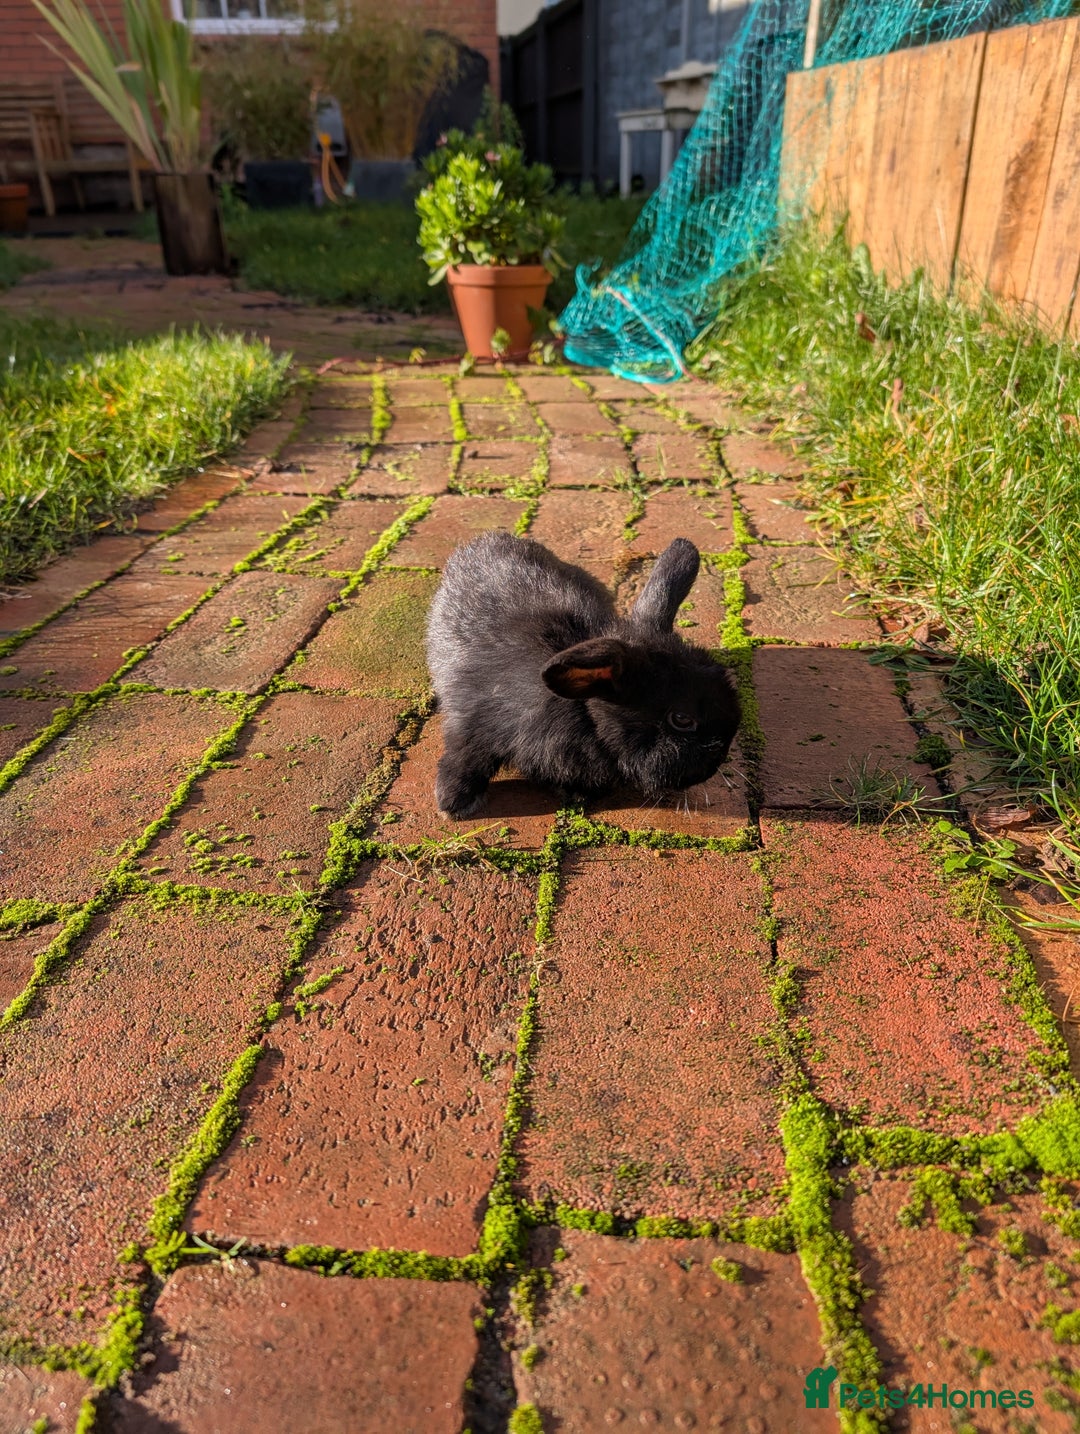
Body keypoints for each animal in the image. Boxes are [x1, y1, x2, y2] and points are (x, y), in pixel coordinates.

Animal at [425, 529, 741, 817]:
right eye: (681, 719)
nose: (717, 762)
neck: (584, 714)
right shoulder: (474, 724)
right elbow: (465, 758)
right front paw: (454, 804)